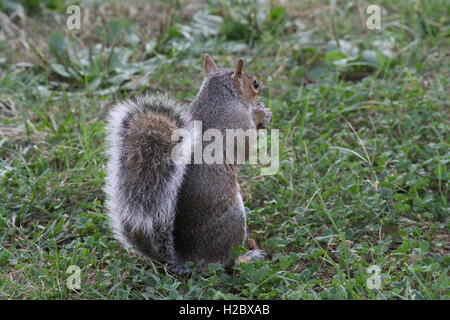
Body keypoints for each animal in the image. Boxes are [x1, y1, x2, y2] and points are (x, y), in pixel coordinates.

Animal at [104, 55, 270, 276]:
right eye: (255, 84)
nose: (261, 93)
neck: (220, 96)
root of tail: (187, 261)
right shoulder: (237, 124)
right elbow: (245, 146)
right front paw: (260, 114)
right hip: (233, 221)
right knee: (227, 262)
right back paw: (249, 257)